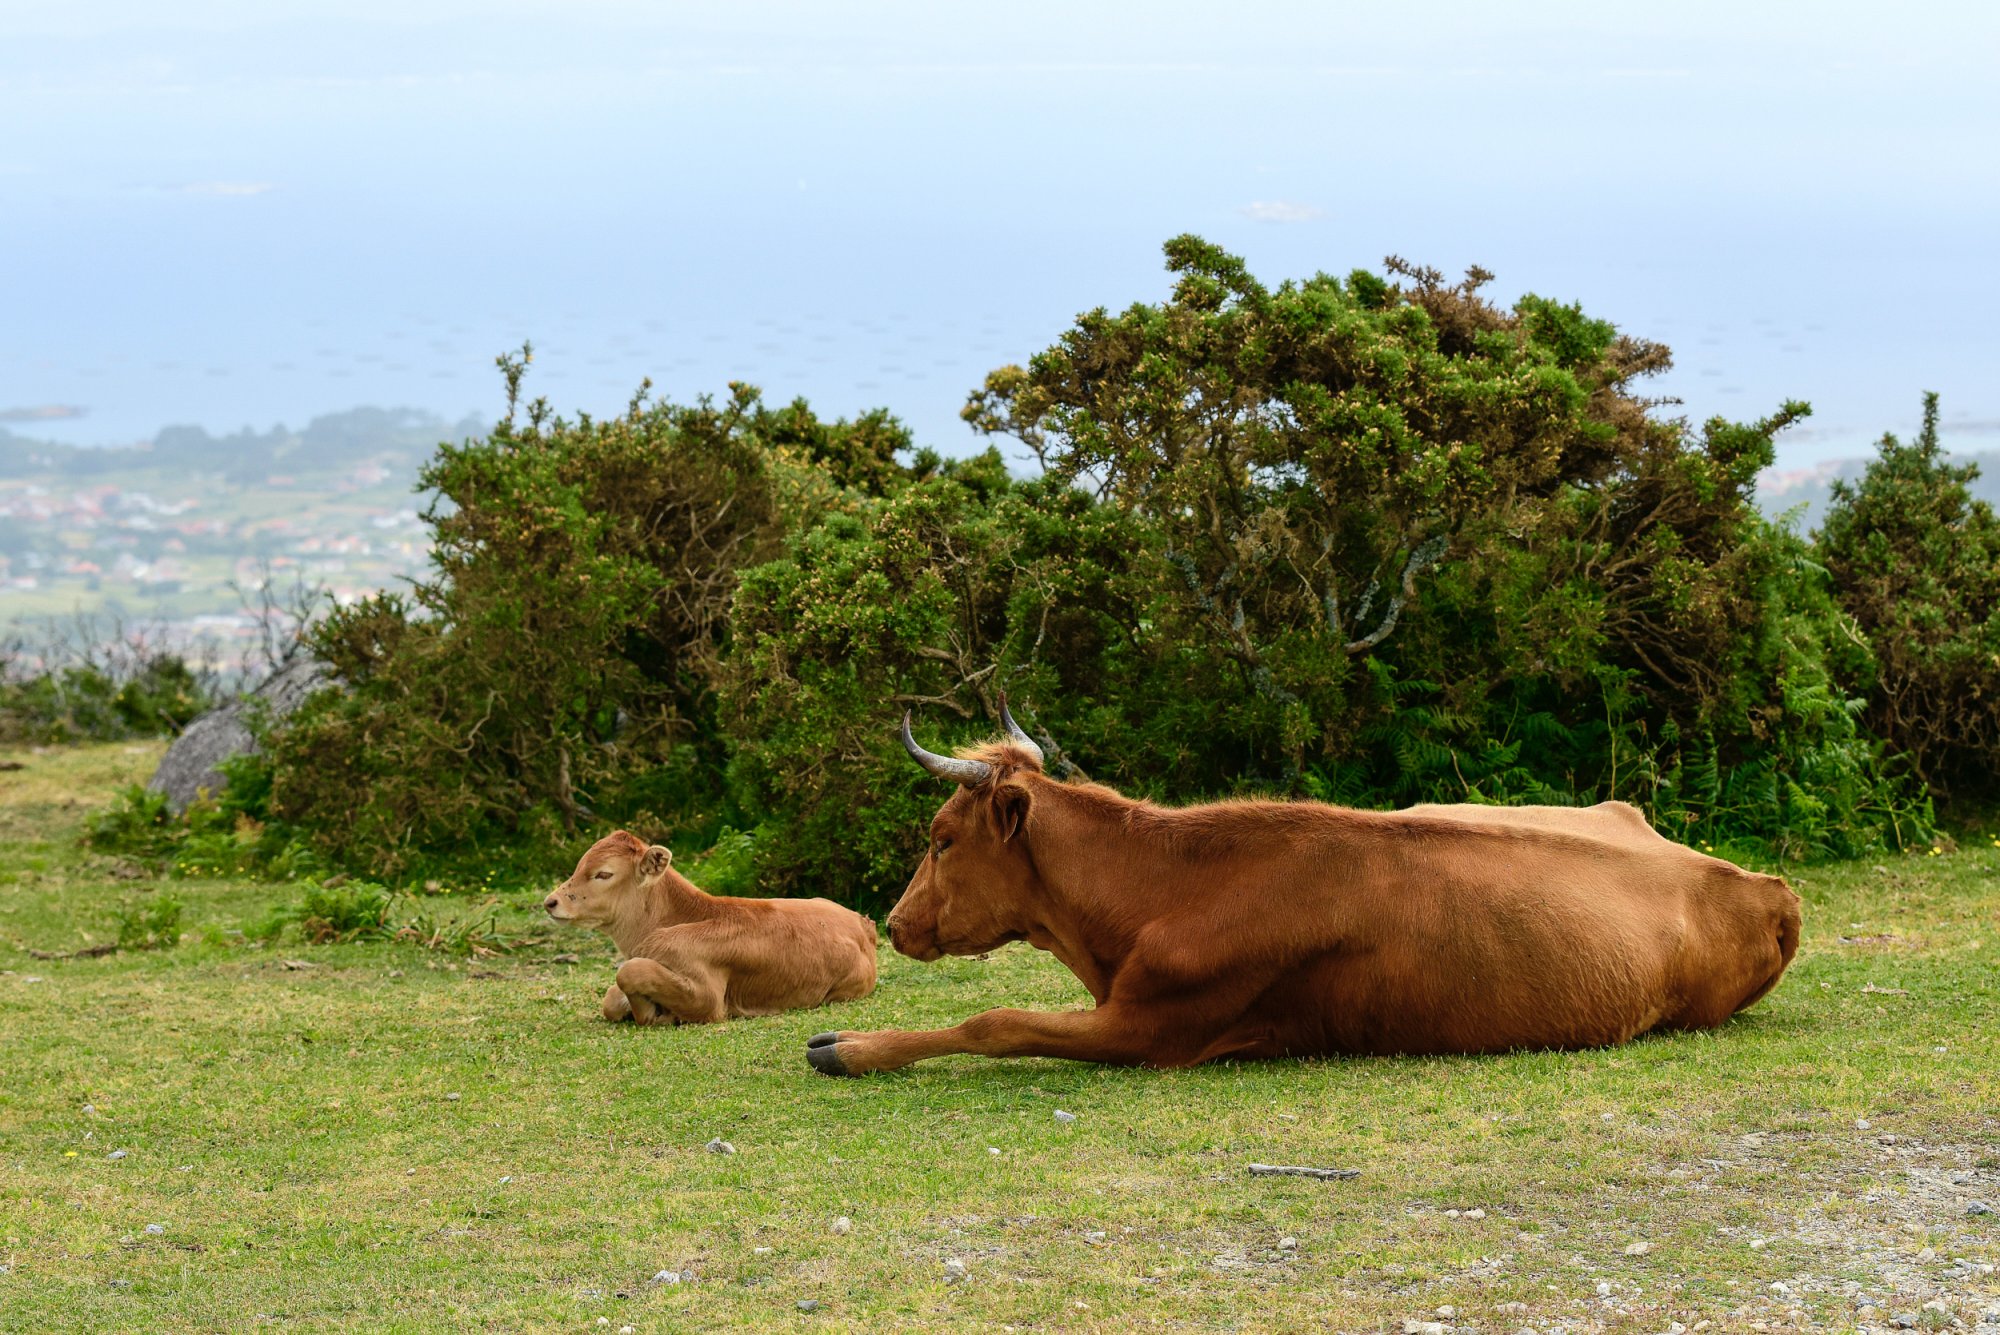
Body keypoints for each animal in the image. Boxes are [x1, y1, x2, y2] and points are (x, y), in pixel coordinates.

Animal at [548, 827, 876, 1031]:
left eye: (604, 874)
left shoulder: (707, 999)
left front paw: (657, 1015)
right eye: (579, 866)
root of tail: (862, 922)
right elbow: (611, 998)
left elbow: (628, 973)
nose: (551, 901)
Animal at [804, 699, 1808, 1071]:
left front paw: (849, 1046)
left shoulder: (1155, 1029)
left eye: (940, 839)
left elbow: (995, 1020)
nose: (892, 921)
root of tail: (1765, 884)